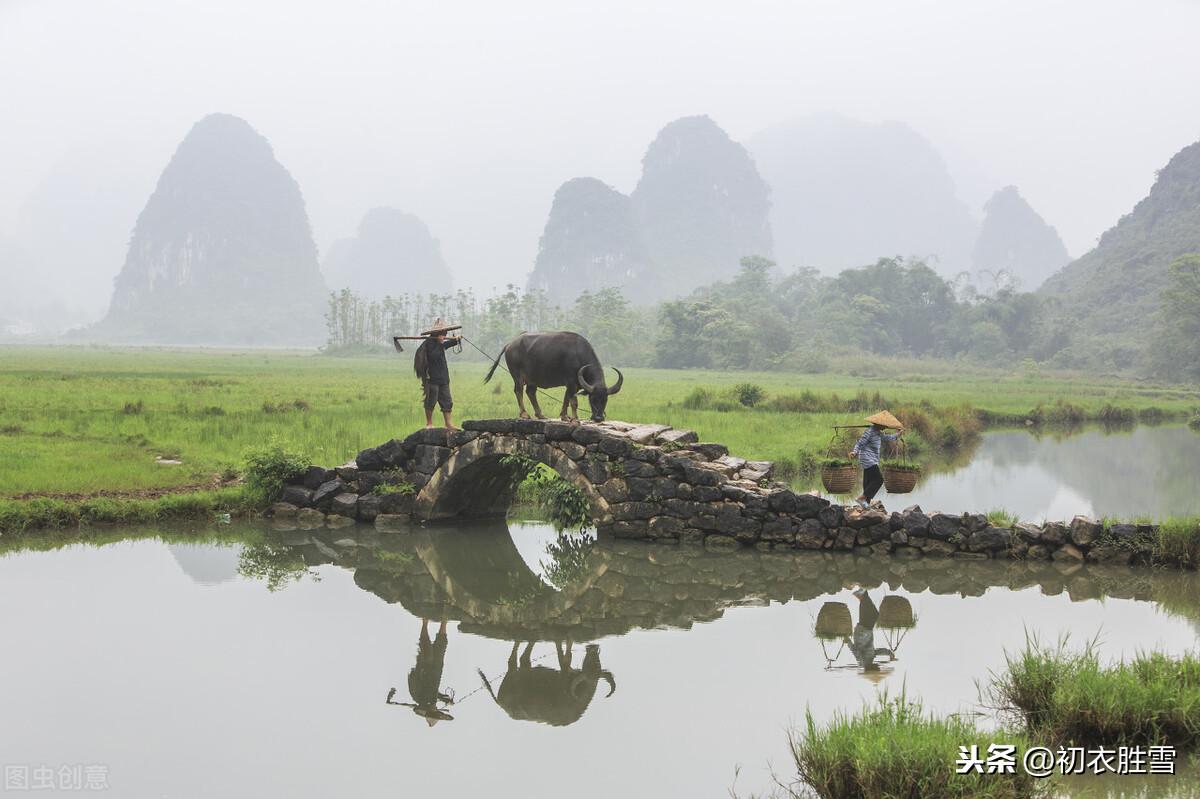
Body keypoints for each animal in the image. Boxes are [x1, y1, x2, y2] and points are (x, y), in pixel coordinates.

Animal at [475, 638, 614, 724]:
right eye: (589, 664)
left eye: (598, 663)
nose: (593, 648)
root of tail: (501, 704)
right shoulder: (564, 670)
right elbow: (565, 656)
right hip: (513, 672)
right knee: (513, 659)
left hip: (524, 669)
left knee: (524, 657)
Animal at [482, 328, 624, 419]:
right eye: (592, 399)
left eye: (605, 399)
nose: (599, 418)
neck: (578, 354)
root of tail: (510, 344)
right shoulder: (571, 382)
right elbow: (572, 401)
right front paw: (572, 418)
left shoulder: (573, 385)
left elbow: (567, 398)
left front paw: (564, 416)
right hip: (517, 375)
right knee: (518, 390)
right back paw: (524, 414)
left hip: (533, 378)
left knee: (530, 392)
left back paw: (540, 414)